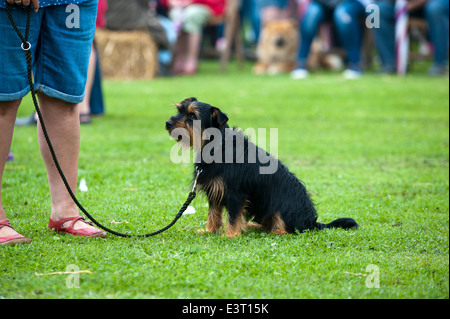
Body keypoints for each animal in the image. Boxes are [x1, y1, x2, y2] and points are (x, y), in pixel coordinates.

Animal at [166, 99, 358, 239]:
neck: (216, 146)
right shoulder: (215, 191)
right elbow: (213, 215)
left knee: (290, 229)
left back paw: (275, 231)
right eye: (179, 110)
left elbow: (233, 217)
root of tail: (312, 222)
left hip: (281, 207)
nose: (168, 122)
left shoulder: (235, 194)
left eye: (192, 116)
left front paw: (230, 235)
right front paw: (209, 231)